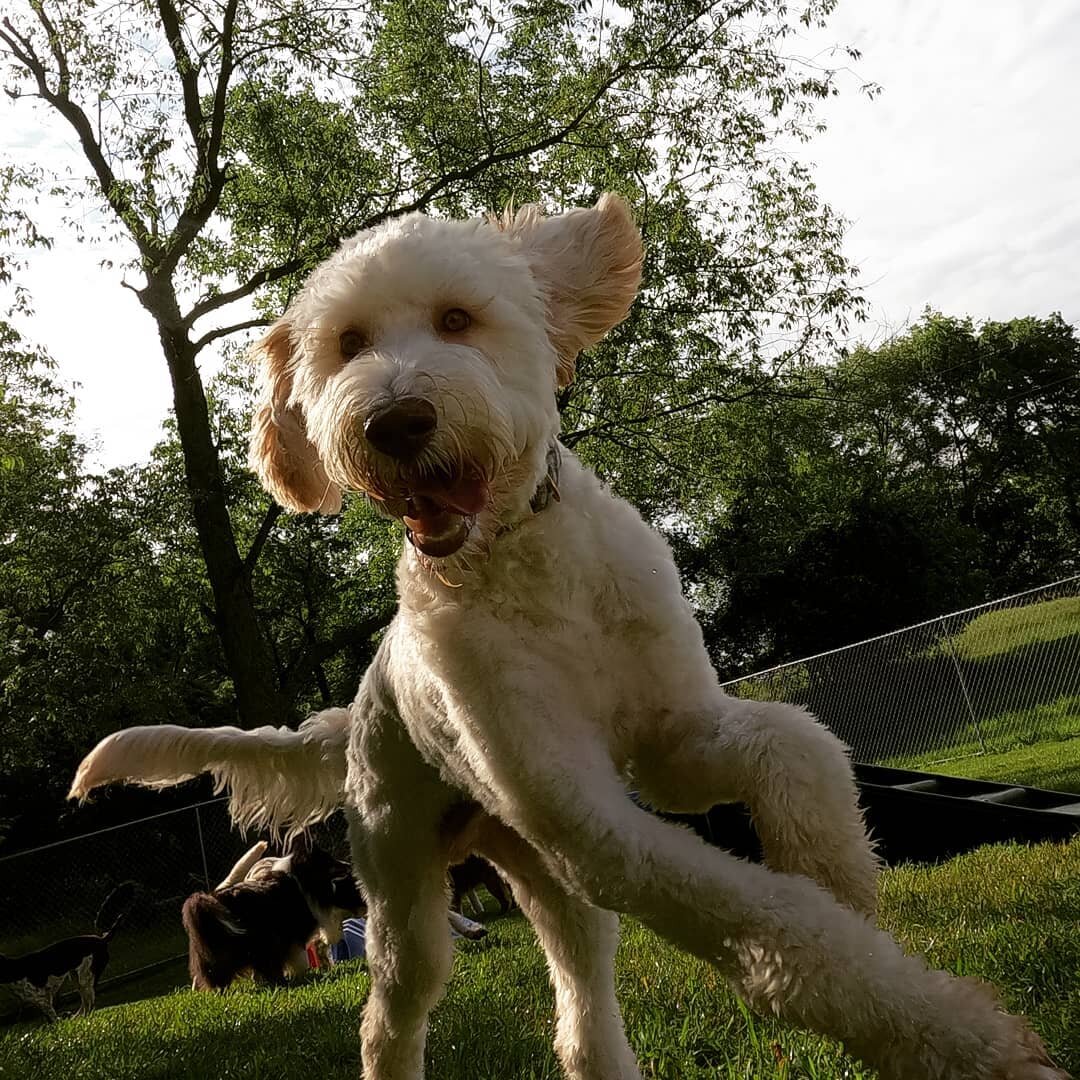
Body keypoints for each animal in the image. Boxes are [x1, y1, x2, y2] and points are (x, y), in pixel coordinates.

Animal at [0, 876, 139, 1019]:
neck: (16, 969)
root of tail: (102, 939)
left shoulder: (43, 1000)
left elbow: (54, 1018)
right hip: (76, 978)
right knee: (85, 1003)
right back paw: (76, 1017)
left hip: (85, 978)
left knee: (89, 1003)